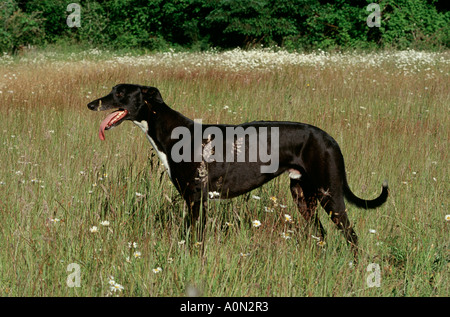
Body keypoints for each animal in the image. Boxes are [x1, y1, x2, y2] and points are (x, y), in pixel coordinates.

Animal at [87, 84, 386, 252]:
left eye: (120, 93)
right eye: (112, 89)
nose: (91, 103)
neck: (172, 131)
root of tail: (329, 138)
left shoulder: (196, 198)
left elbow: (197, 241)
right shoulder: (191, 199)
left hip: (329, 194)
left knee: (352, 237)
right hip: (303, 196)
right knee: (321, 234)